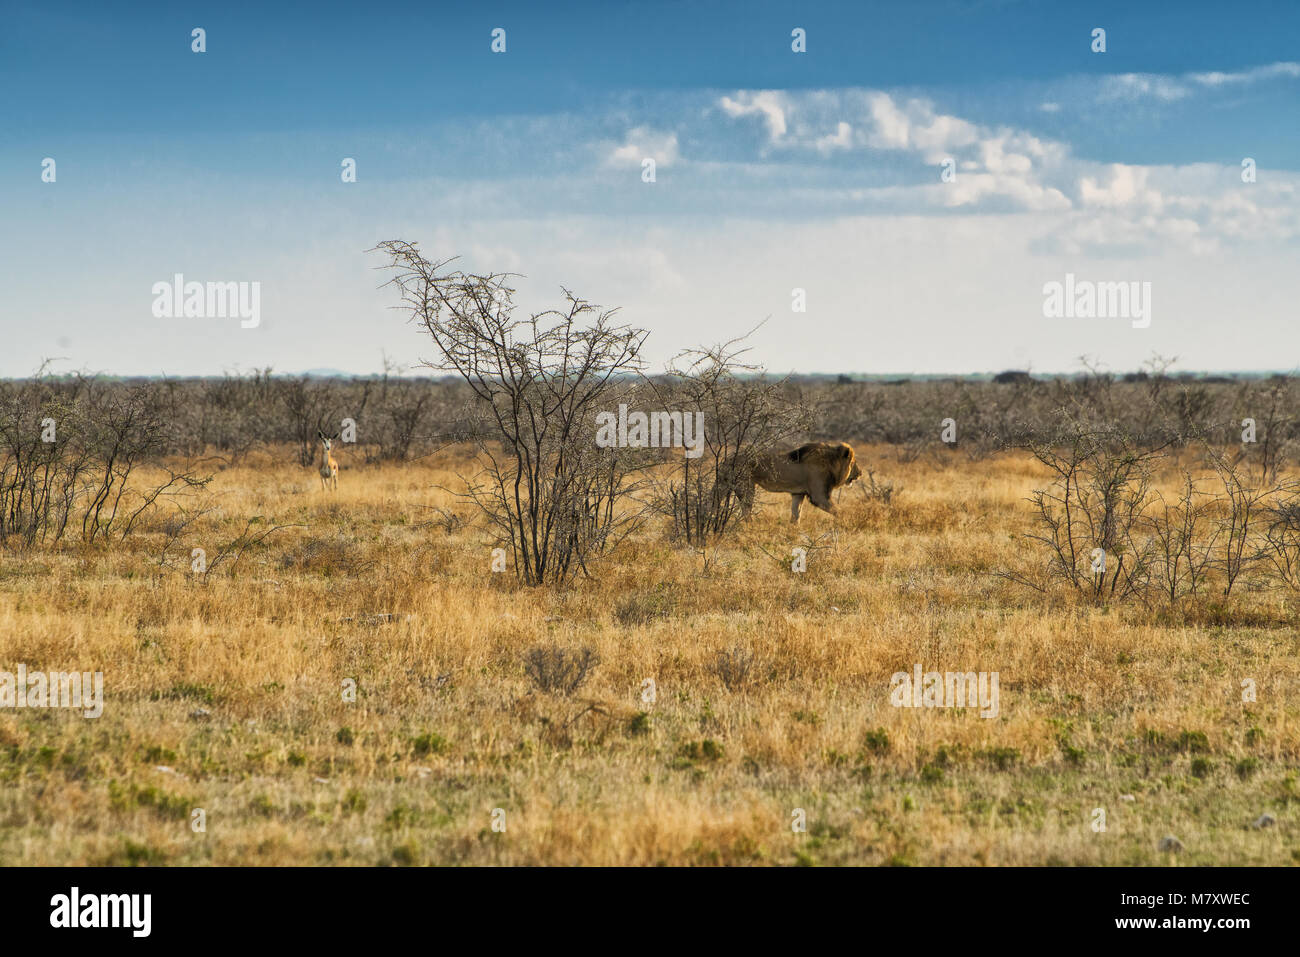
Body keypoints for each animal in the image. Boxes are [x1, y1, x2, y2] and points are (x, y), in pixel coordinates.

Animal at [726, 441, 861, 524]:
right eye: (854, 463)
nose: (860, 474)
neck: (831, 463)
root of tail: (729, 459)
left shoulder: (798, 493)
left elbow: (796, 514)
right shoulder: (819, 496)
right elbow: (839, 511)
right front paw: (849, 521)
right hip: (746, 486)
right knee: (746, 511)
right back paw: (751, 526)